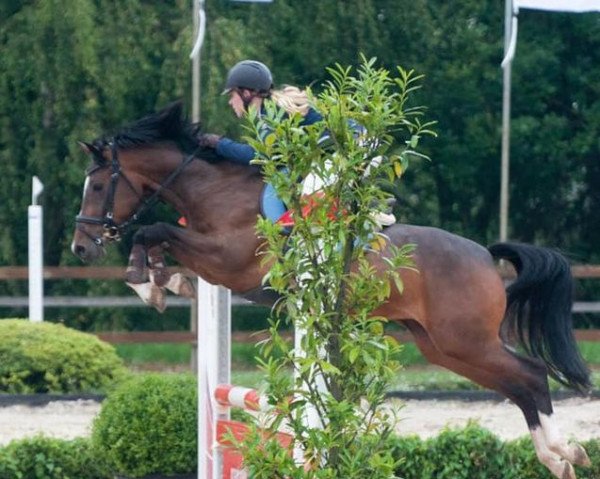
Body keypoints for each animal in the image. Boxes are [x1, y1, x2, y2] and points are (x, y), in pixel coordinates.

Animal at [70, 102, 592, 479]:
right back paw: (558, 457)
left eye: (95, 187)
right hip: (444, 347)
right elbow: (158, 238)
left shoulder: (229, 259)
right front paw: (160, 282)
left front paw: (148, 280)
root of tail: (485, 256)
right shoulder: (212, 262)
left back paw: (565, 453)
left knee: (532, 375)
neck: (215, 192)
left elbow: (151, 230)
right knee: (519, 385)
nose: (80, 246)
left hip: (465, 340)